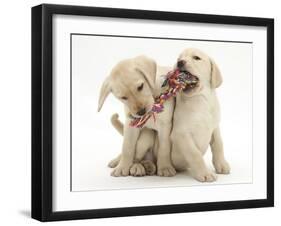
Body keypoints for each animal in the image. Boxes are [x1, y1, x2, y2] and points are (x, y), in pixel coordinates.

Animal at [170, 48, 229, 183]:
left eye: (196, 58)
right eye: (178, 58)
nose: (180, 62)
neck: (200, 100)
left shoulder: (215, 127)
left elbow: (219, 145)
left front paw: (221, 164)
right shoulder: (180, 134)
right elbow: (195, 154)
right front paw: (205, 173)